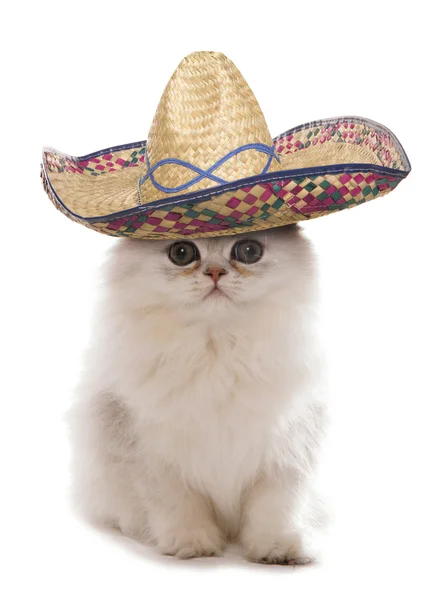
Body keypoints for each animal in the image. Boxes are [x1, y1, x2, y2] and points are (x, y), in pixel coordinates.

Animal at [71, 223, 328, 564]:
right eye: (182, 253)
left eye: (249, 251)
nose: (216, 272)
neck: (217, 351)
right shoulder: (150, 452)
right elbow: (177, 505)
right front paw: (192, 545)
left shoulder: (289, 449)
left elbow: (277, 508)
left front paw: (278, 549)